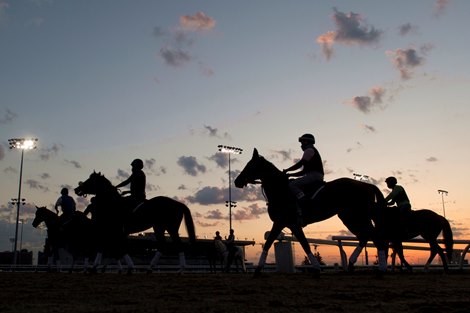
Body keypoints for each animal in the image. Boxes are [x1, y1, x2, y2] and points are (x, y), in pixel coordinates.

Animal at [235, 149, 390, 276]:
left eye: (250, 166)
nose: (237, 181)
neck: (281, 190)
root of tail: (368, 185)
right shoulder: (285, 224)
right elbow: (278, 243)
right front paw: (258, 270)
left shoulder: (286, 223)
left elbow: (302, 244)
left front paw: (316, 268)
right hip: (349, 217)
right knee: (365, 236)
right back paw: (352, 264)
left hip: (357, 216)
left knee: (373, 236)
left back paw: (381, 269)